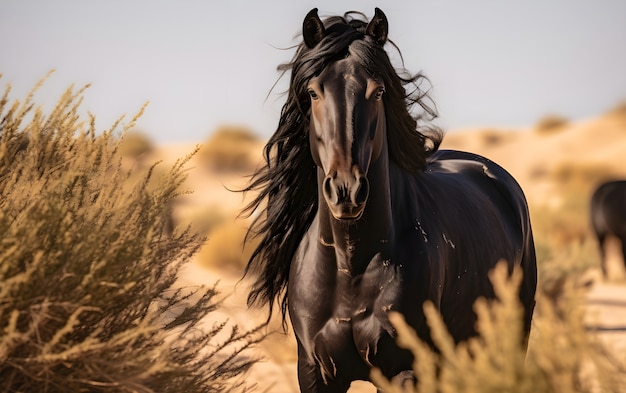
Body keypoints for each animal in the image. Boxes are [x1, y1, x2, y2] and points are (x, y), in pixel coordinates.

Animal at [241, 9, 532, 392]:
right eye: (313, 93)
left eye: (378, 91)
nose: (346, 191)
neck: (351, 268)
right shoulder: (314, 372)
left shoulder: (403, 372)